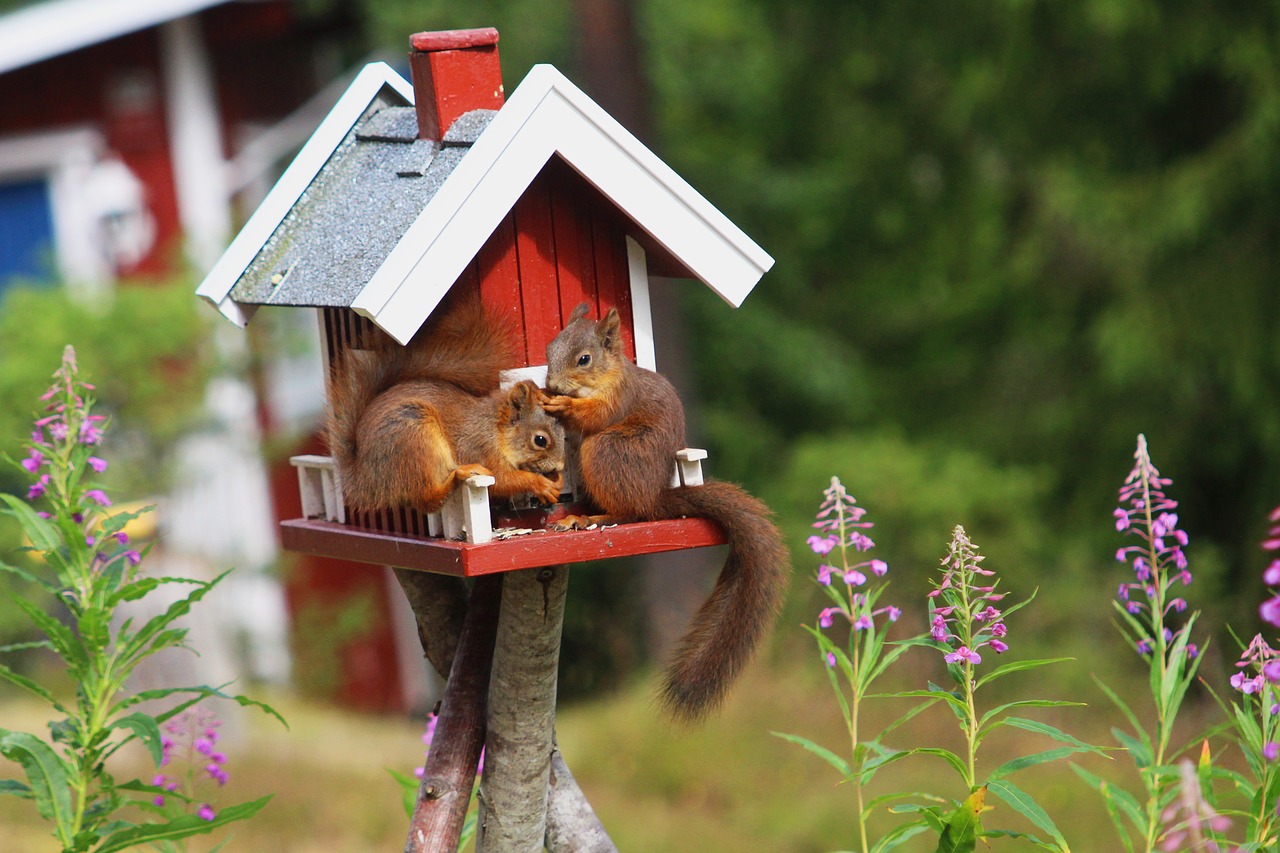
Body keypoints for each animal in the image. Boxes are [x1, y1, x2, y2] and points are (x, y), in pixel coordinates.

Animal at [327, 295, 563, 514]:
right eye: (540, 440)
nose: (560, 465)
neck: (495, 429)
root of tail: (364, 479)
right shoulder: (479, 448)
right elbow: (502, 481)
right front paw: (541, 484)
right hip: (413, 437)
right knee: (428, 500)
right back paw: (459, 475)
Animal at [540, 302, 788, 722]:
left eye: (584, 359)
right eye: (547, 350)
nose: (552, 384)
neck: (607, 376)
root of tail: (655, 497)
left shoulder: (618, 398)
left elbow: (595, 415)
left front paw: (562, 404)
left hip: (607, 451)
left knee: (629, 513)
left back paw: (589, 518)